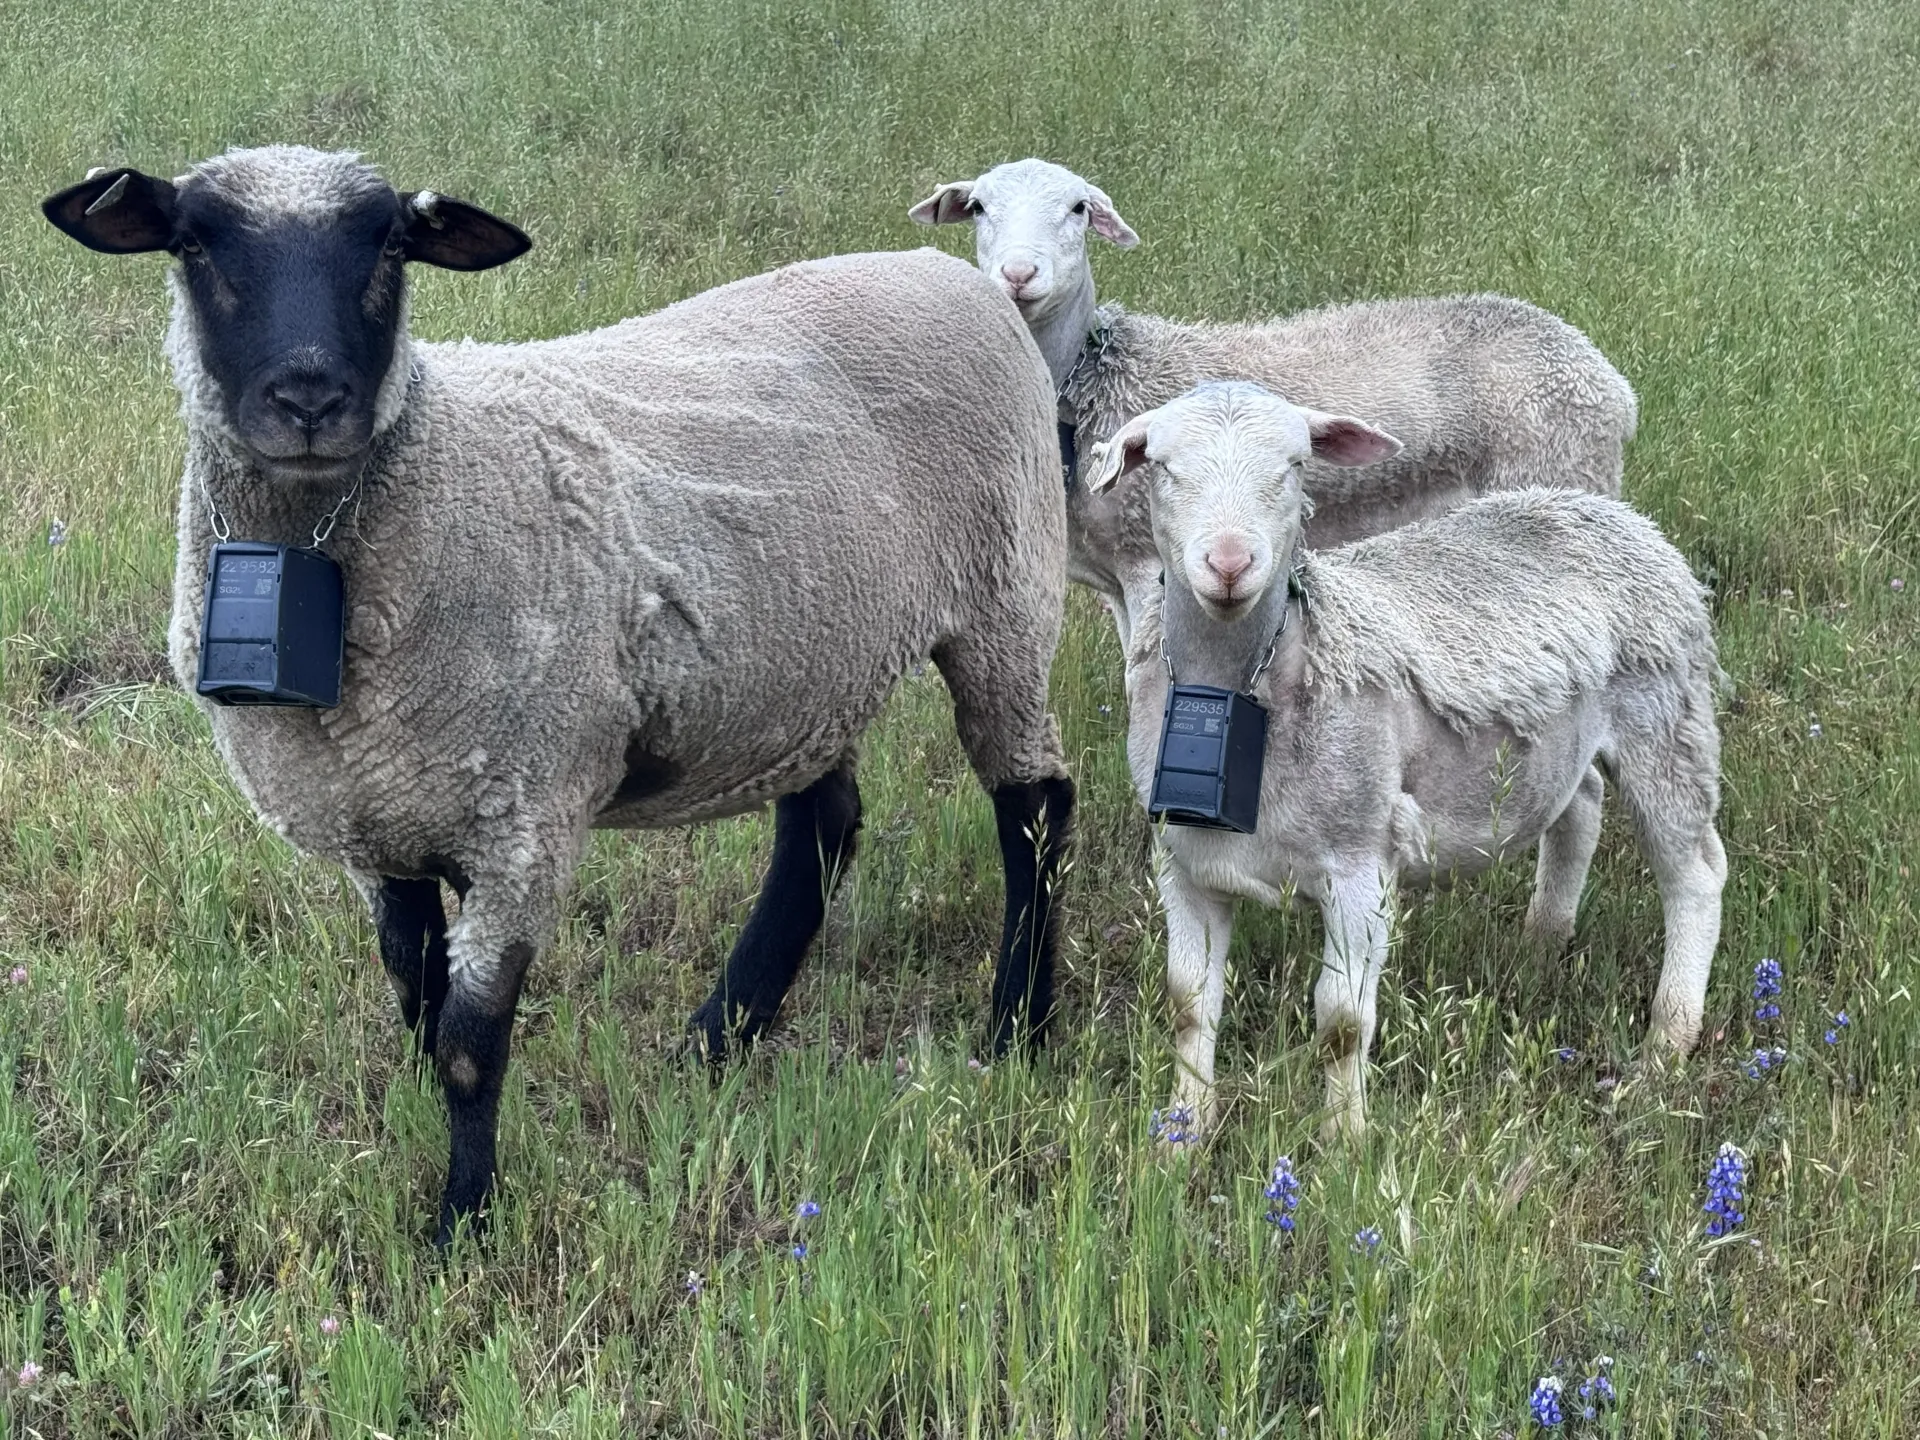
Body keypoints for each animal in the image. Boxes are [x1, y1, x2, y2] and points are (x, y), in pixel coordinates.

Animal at [44, 145, 1077, 1244]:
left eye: (392, 245)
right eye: (193, 243)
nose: (311, 400)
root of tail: (948, 275)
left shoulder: (524, 818)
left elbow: (468, 1041)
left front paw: (462, 1224)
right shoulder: (375, 821)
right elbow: (415, 1001)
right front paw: (433, 1146)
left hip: (1006, 598)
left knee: (1035, 809)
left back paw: (1016, 1030)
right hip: (808, 655)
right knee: (823, 828)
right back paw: (718, 1038)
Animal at [911, 159, 1640, 649]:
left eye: (1079, 210)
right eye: (978, 208)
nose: (1018, 275)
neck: (1092, 385)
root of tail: (1609, 381)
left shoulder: (1150, 564)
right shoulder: (1119, 581)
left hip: (1556, 469)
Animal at [1087, 382, 1724, 1139]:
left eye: (1294, 466)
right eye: (1162, 466)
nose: (1230, 564)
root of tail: (1611, 513)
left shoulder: (1359, 863)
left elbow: (1340, 1024)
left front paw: (1344, 1142)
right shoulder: (1184, 862)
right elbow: (1187, 1005)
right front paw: (1183, 1134)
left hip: (1668, 722)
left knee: (1695, 874)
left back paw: (1666, 1045)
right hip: (1566, 735)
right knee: (1582, 806)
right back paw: (1543, 941)